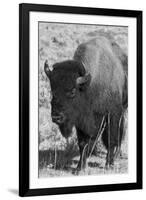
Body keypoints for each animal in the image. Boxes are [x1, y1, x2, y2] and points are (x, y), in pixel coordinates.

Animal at [44, 35, 128, 170]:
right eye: (52, 91)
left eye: (72, 91)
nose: (57, 117)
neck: (90, 85)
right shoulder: (81, 118)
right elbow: (83, 142)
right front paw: (79, 168)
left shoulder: (113, 114)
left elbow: (111, 138)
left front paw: (108, 164)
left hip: (123, 110)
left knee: (121, 130)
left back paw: (117, 155)